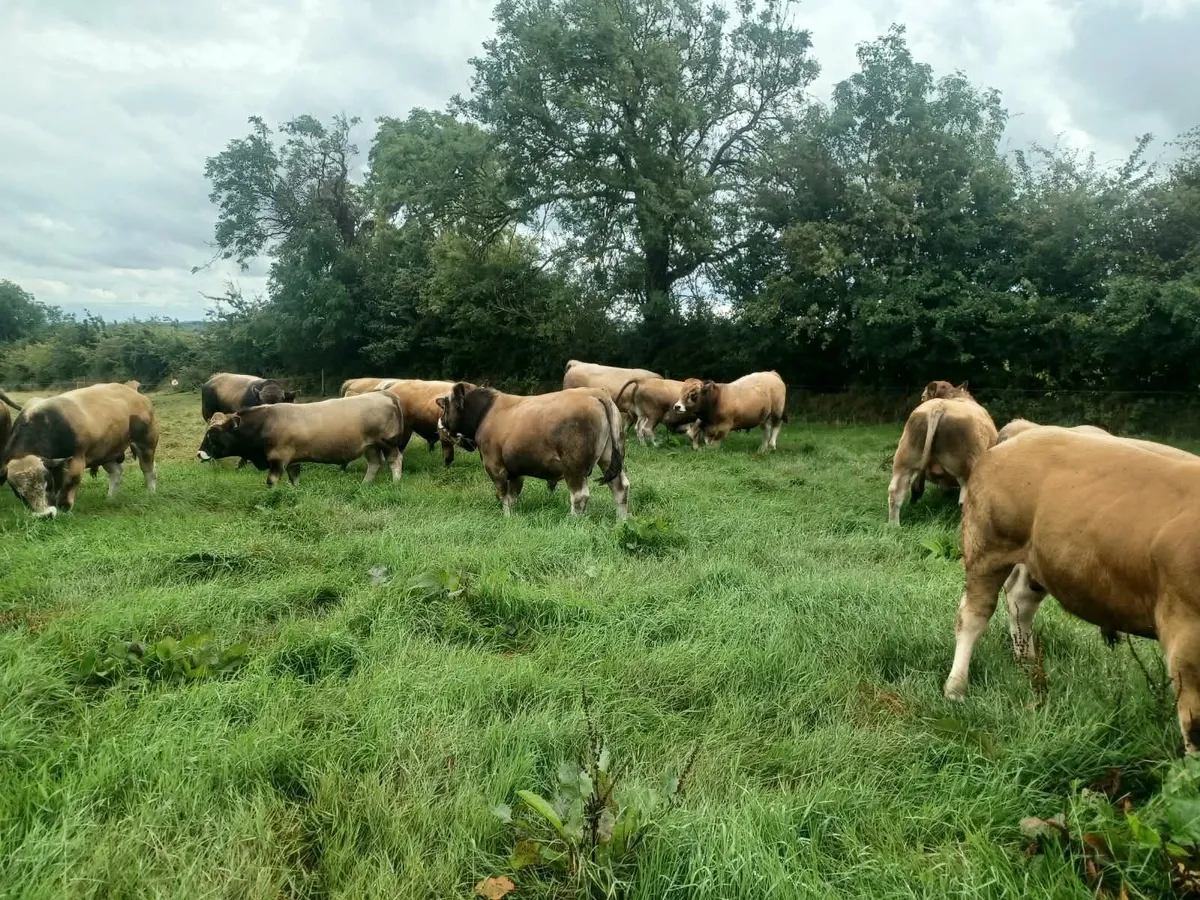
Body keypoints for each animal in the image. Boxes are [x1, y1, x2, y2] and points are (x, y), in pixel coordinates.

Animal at [1, 383, 158, 517]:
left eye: (47, 485)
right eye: (19, 494)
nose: (45, 515)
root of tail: (131, 389)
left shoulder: (76, 462)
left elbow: (68, 487)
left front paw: (65, 510)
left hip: (146, 443)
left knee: (148, 470)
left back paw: (151, 495)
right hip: (106, 452)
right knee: (116, 472)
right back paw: (110, 499)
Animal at [196, 392, 406, 488]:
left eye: (213, 433)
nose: (199, 453)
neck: (265, 423)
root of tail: (383, 394)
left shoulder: (278, 460)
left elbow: (271, 482)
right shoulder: (293, 462)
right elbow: (295, 480)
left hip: (387, 442)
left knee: (395, 460)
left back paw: (395, 483)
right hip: (370, 446)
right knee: (375, 463)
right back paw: (365, 484)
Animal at [436, 383, 629, 518]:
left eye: (445, 405)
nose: (439, 422)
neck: (486, 411)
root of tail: (595, 392)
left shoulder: (495, 466)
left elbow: (503, 495)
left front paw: (506, 517)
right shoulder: (515, 471)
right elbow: (512, 496)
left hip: (574, 467)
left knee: (579, 496)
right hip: (608, 458)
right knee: (620, 488)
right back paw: (622, 520)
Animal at [887, 396, 997, 525]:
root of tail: (938, 406)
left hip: (905, 461)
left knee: (895, 493)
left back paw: (894, 525)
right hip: (967, 468)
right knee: (965, 501)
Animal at [942, 426, 1200, 753]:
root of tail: (1029, 429)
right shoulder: (1187, 634)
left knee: (1021, 600)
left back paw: (1026, 660)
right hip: (987, 549)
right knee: (973, 616)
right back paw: (955, 687)